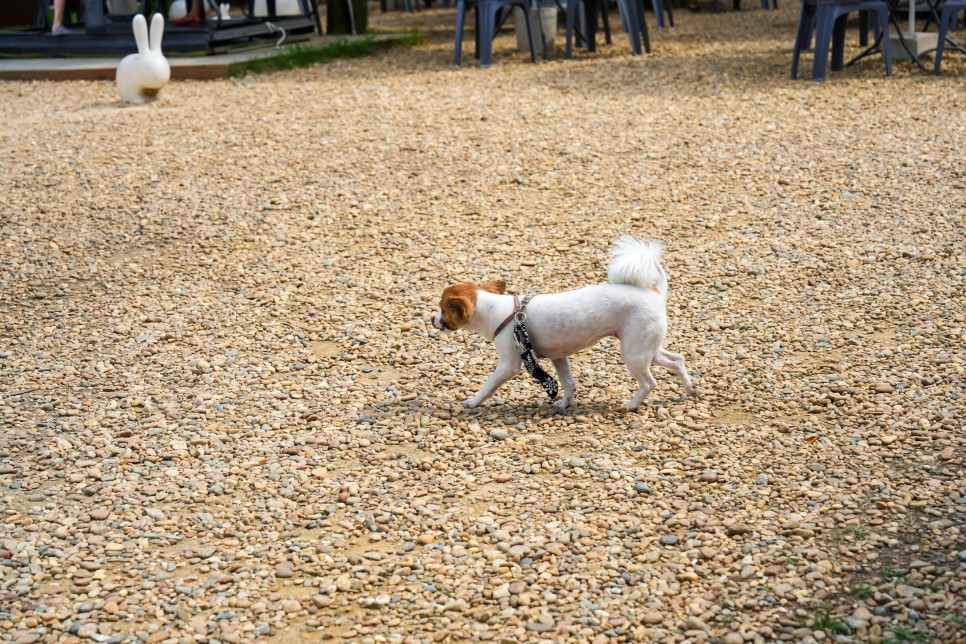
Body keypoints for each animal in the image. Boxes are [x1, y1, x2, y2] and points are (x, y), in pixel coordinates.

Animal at [432, 238, 696, 412]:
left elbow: (488, 385)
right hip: (647, 347)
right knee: (676, 359)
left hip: (634, 353)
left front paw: (473, 402)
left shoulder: (509, 365)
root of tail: (656, 293)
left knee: (650, 382)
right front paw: (565, 404)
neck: (501, 312)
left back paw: (631, 405)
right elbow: (569, 383)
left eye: (442, 308)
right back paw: (691, 389)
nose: (431, 319)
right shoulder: (559, 358)